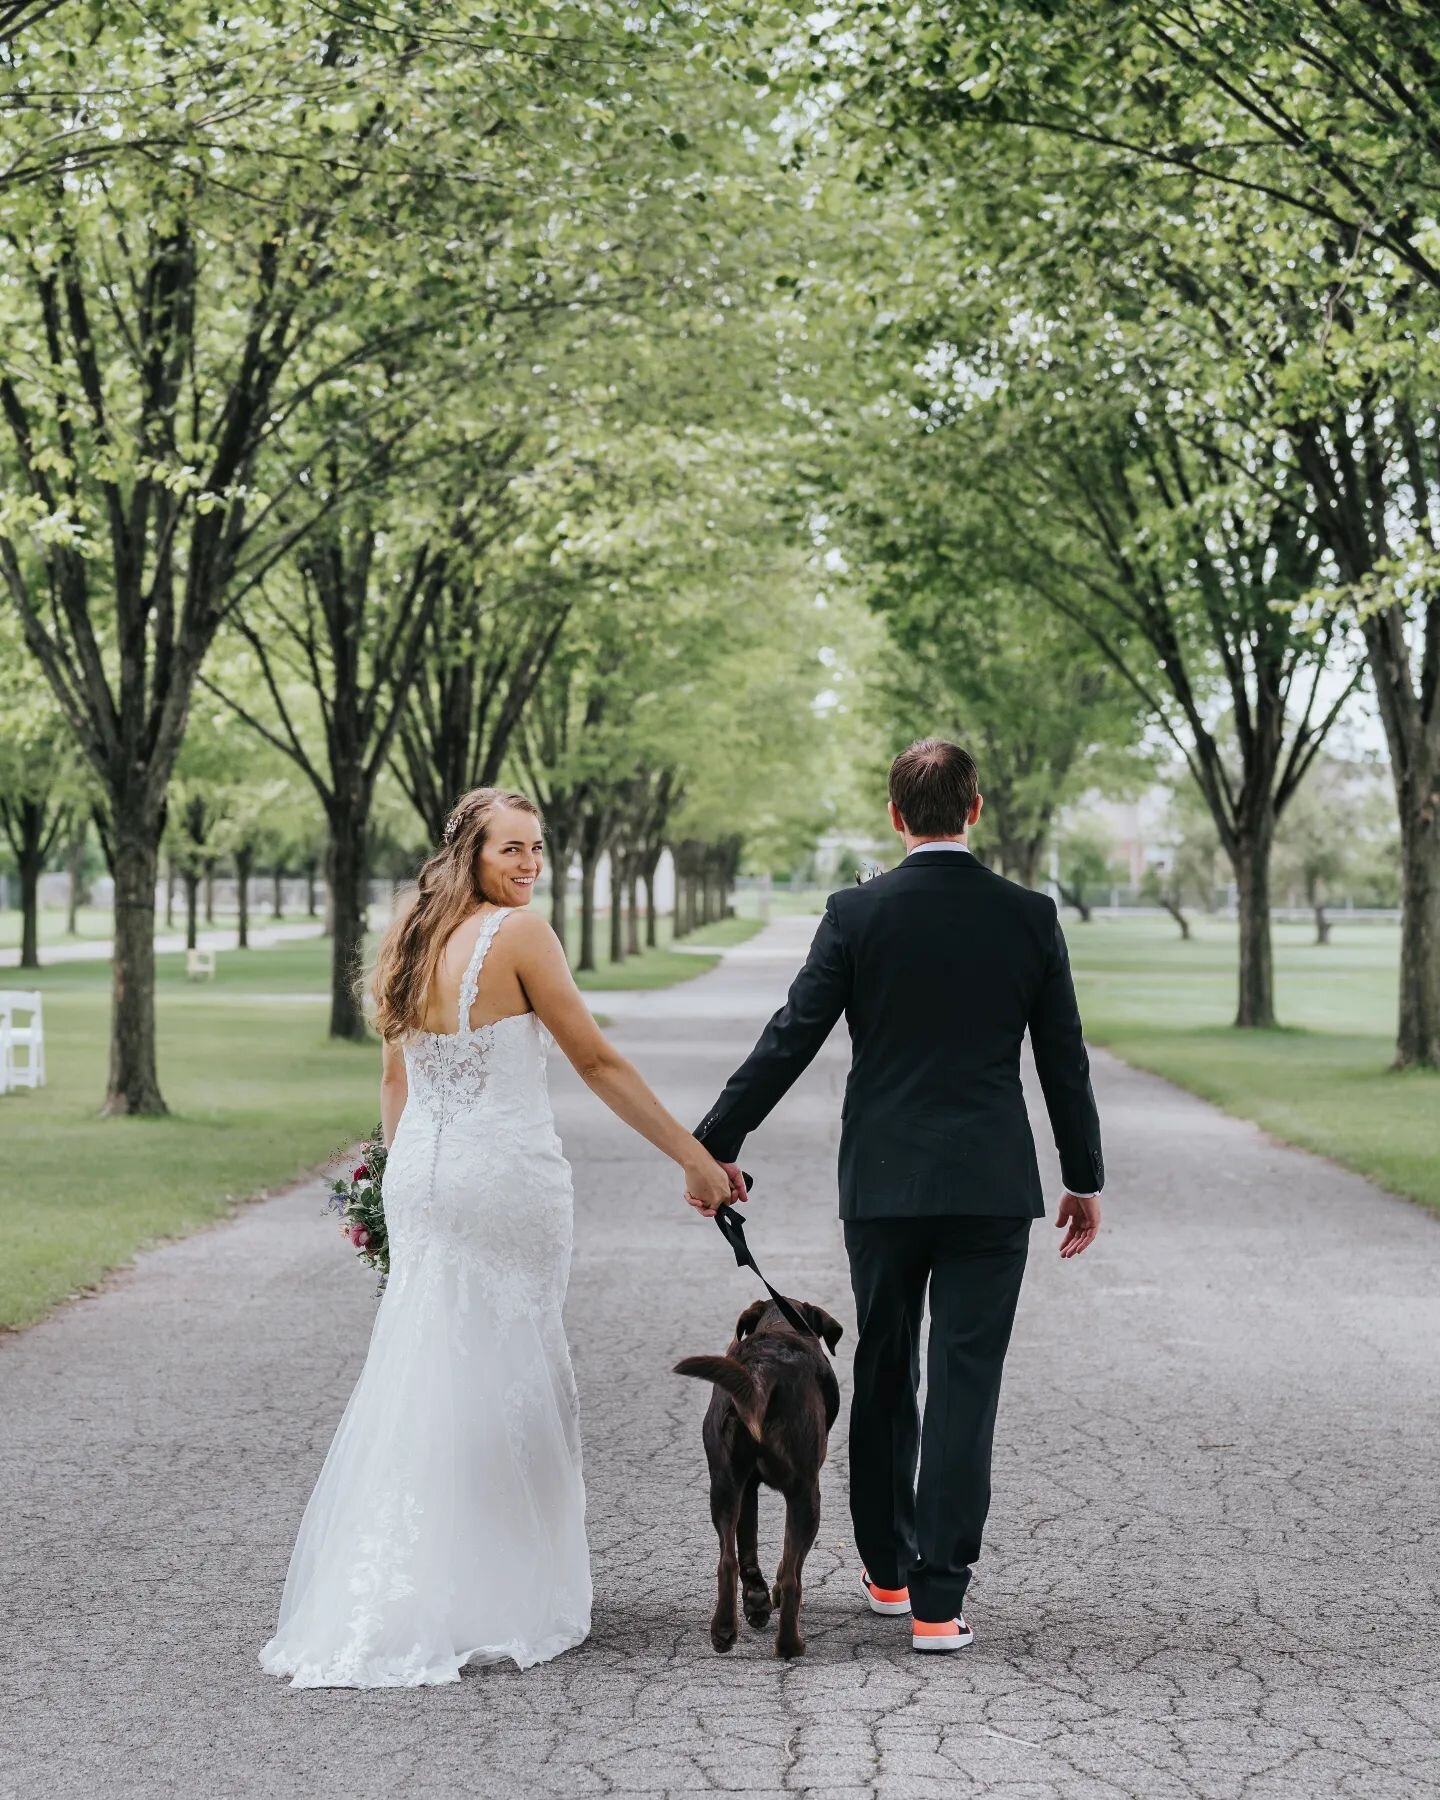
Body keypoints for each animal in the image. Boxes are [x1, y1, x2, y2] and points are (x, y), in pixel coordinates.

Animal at [676, 1296, 842, 1656]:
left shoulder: (746, 1486)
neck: (780, 1322)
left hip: (724, 1483)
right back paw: (790, 1645)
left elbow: (747, 1545)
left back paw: (724, 1630)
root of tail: (762, 1372)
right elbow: (786, 1560)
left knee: (727, 1561)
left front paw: (756, 1603)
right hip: (806, 1493)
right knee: (793, 1577)